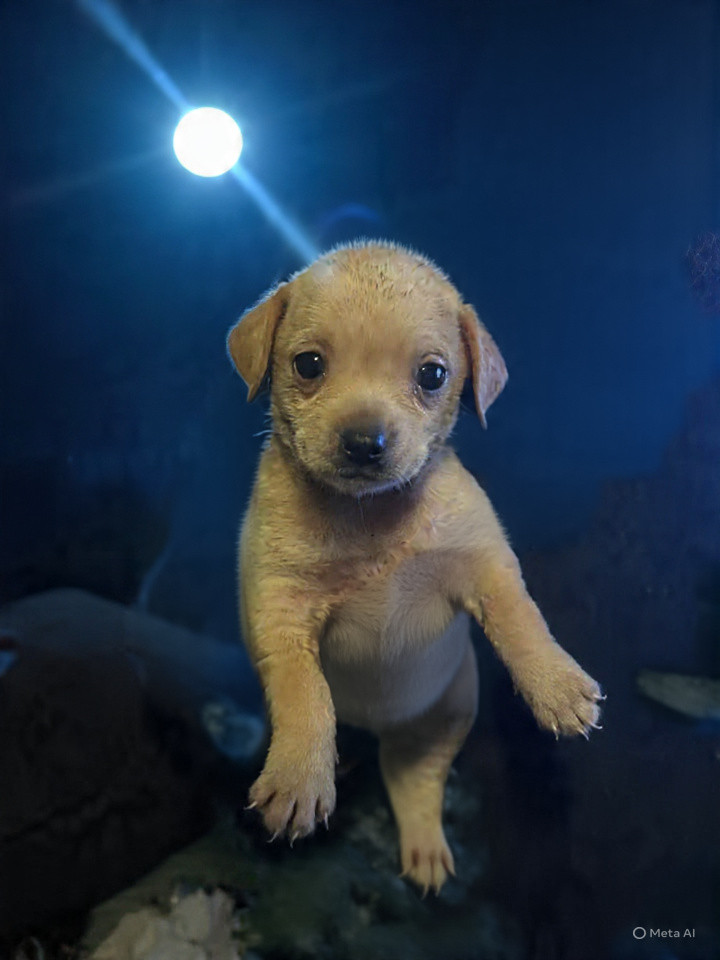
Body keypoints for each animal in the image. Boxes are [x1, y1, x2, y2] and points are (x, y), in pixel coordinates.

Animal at [227, 241, 603, 894]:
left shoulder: (487, 566)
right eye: (308, 365)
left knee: (415, 781)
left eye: (432, 375)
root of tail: (381, 730)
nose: (364, 442)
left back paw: (425, 844)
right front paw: (299, 773)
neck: (371, 517)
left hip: (444, 719)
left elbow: (521, 619)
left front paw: (555, 684)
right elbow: (304, 694)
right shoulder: (281, 610)